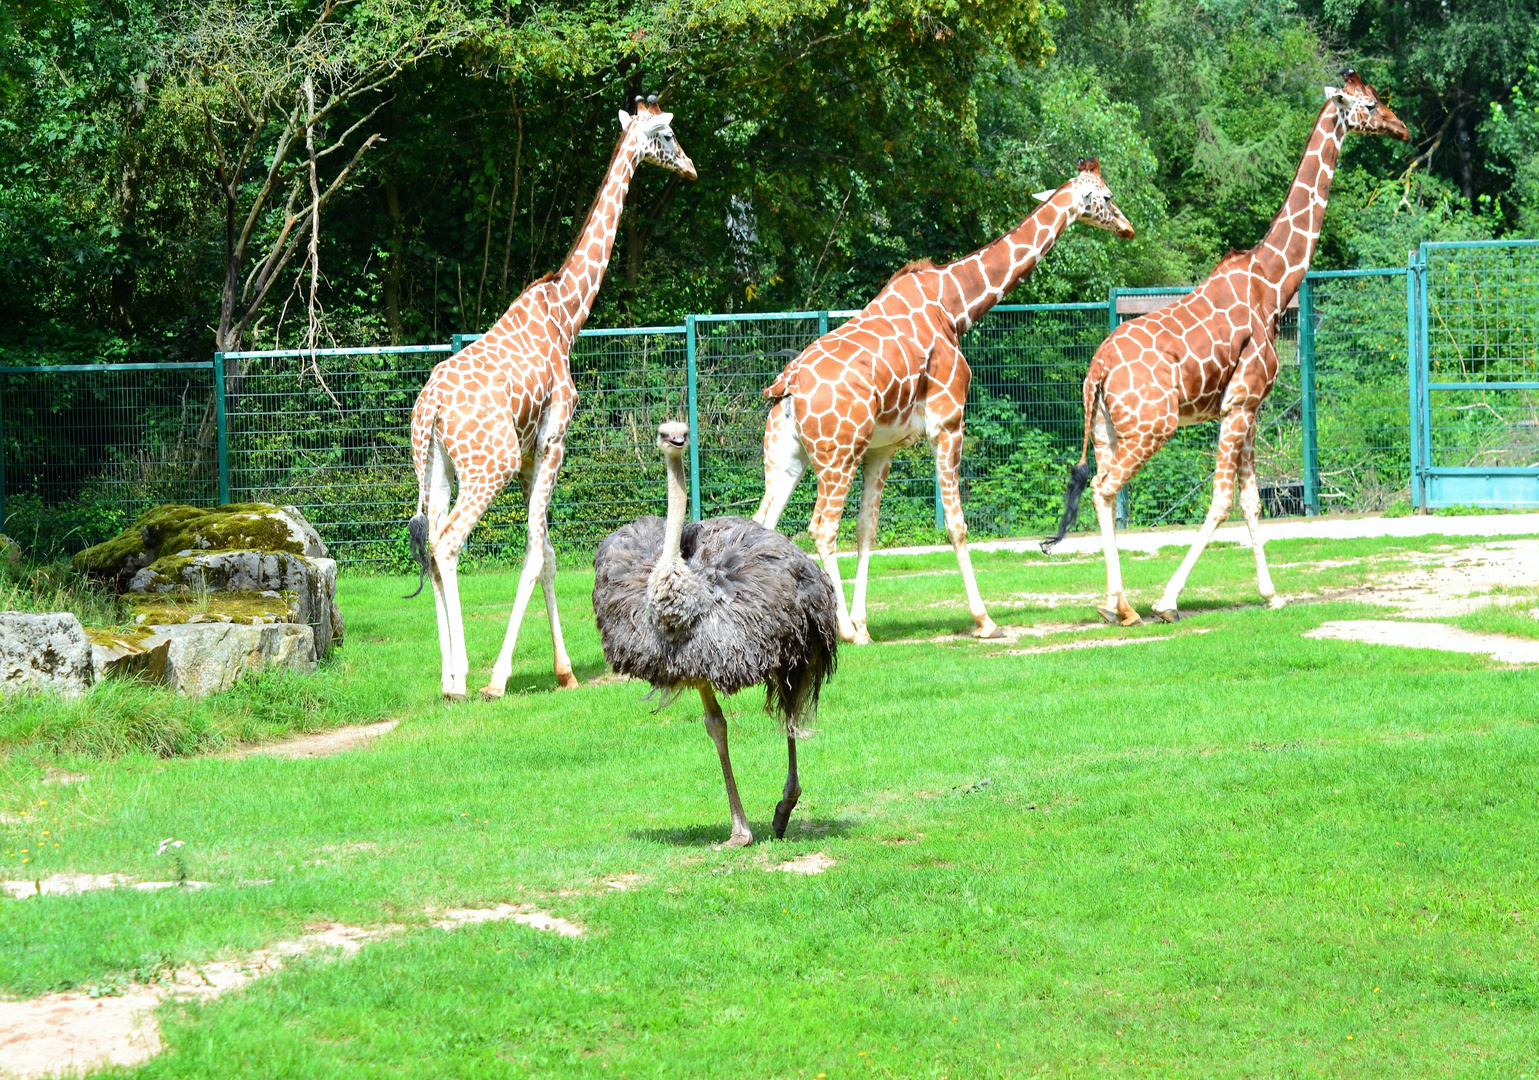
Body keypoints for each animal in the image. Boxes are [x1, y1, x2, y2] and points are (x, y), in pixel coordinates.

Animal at [409, 95, 698, 701]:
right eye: (667, 135)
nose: (689, 166)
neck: (567, 316)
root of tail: (431, 410)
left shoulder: (528, 456)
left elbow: (546, 555)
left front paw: (565, 672)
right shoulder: (553, 440)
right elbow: (536, 552)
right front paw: (500, 678)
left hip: (436, 469)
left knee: (431, 543)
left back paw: (447, 675)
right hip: (487, 466)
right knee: (448, 543)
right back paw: (463, 677)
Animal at [751, 156, 1138, 640]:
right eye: (1106, 197)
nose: (1127, 228)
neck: (954, 306)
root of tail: (787, 385)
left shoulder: (882, 447)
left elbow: (867, 529)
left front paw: (864, 623)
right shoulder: (948, 423)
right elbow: (957, 525)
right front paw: (984, 620)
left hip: (788, 456)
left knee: (764, 524)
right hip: (836, 454)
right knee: (820, 527)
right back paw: (841, 630)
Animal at [1034, 73, 1409, 627]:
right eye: (1369, 104)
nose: (1401, 127)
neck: (1273, 283)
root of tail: (1097, 371)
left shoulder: (1248, 410)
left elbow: (1252, 502)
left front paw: (1272, 594)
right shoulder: (1240, 403)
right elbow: (1222, 501)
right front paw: (1168, 601)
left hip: (1104, 429)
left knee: (1102, 486)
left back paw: (1112, 603)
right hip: (1154, 425)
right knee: (1105, 488)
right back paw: (1126, 607)